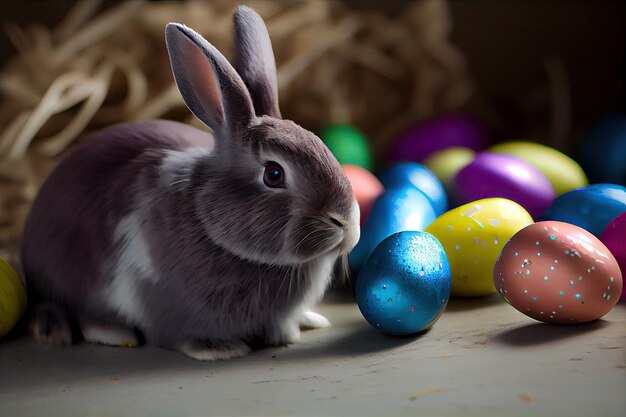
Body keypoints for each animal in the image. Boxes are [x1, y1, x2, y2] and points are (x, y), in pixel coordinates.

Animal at [19, 4, 358, 360]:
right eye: (274, 174)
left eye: (320, 142)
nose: (345, 222)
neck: (208, 222)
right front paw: (219, 349)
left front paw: (290, 332)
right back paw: (112, 331)